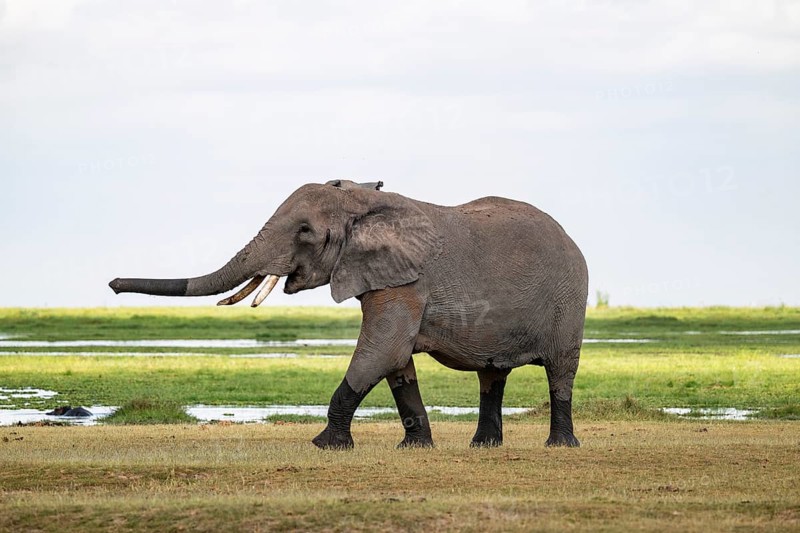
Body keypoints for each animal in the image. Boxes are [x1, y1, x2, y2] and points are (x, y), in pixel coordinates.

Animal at [109, 180, 588, 449]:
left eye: (304, 231)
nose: (112, 284)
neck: (362, 202)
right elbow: (396, 363)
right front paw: (414, 449)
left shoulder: (406, 281)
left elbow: (382, 350)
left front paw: (324, 446)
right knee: (492, 375)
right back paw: (483, 447)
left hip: (570, 298)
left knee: (560, 372)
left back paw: (560, 446)